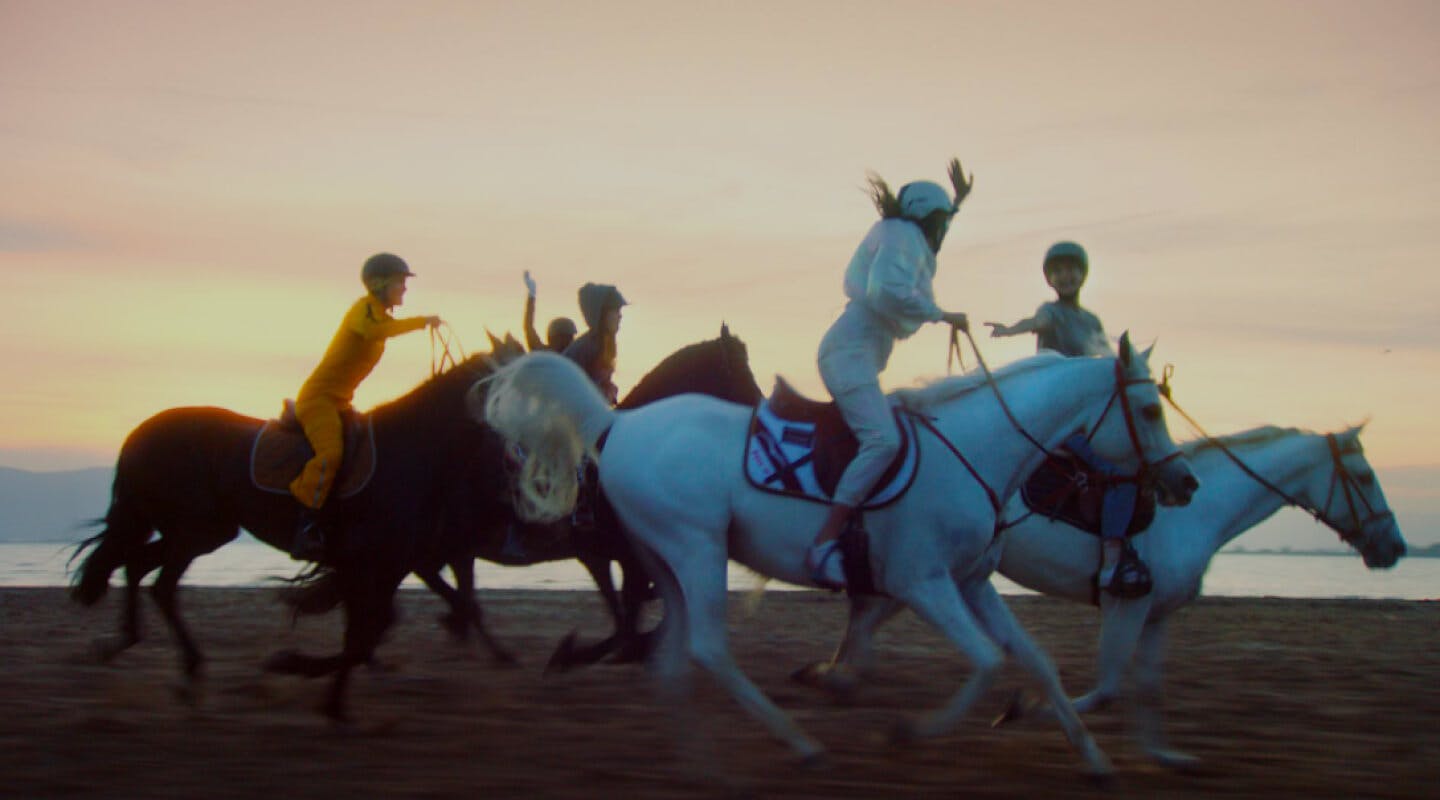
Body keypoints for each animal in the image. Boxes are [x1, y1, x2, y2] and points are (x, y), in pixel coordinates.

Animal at [478, 333, 1198, 776]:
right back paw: (799, 745)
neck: (976, 449)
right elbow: (988, 661)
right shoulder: (923, 584)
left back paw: (704, 762)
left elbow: (1037, 662)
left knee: (671, 661)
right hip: (696, 552)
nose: (1185, 482)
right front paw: (910, 731)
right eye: (1147, 408)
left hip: (667, 565)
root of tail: (618, 421)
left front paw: (1095, 760)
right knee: (707, 650)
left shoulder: (971, 584)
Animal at [800, 423, 1405, 765]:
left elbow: (1148, 687)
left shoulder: (1157, 615)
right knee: (867, 615)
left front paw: (1164, 753)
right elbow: (1111, 687)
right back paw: (837, 678)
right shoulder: (1127, 604)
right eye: (1365, 477)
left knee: (866, 615)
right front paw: (1024, 711)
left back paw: (833, 677)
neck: (1198, 513)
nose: (1394, 547)